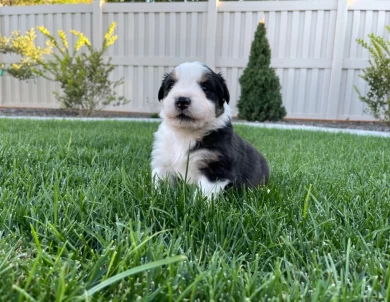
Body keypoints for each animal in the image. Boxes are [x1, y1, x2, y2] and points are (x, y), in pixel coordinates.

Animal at [151, 61, 270, 198]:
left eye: (205, 88)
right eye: (170, 86)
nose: (182, 101)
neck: (186, 133)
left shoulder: (215, 168)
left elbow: (204, 194)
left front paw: (197, 203)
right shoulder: (162, 162)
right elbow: (160, 185)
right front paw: (158, 197)